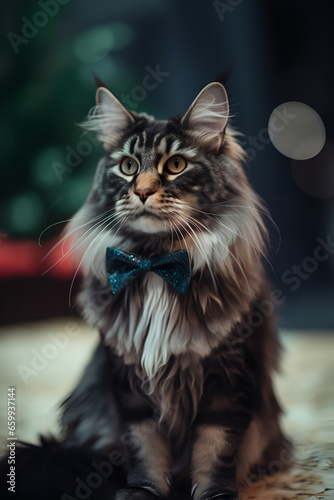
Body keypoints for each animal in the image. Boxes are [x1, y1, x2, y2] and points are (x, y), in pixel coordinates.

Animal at [0, 79, 290, 500]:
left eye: (176, 165)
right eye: (128, 167)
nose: (142, 191)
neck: (155, 264)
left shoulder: (229, 374)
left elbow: (215, 447)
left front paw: (214, 494)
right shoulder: (128, 377)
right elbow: (145, 446)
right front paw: (142, 492)